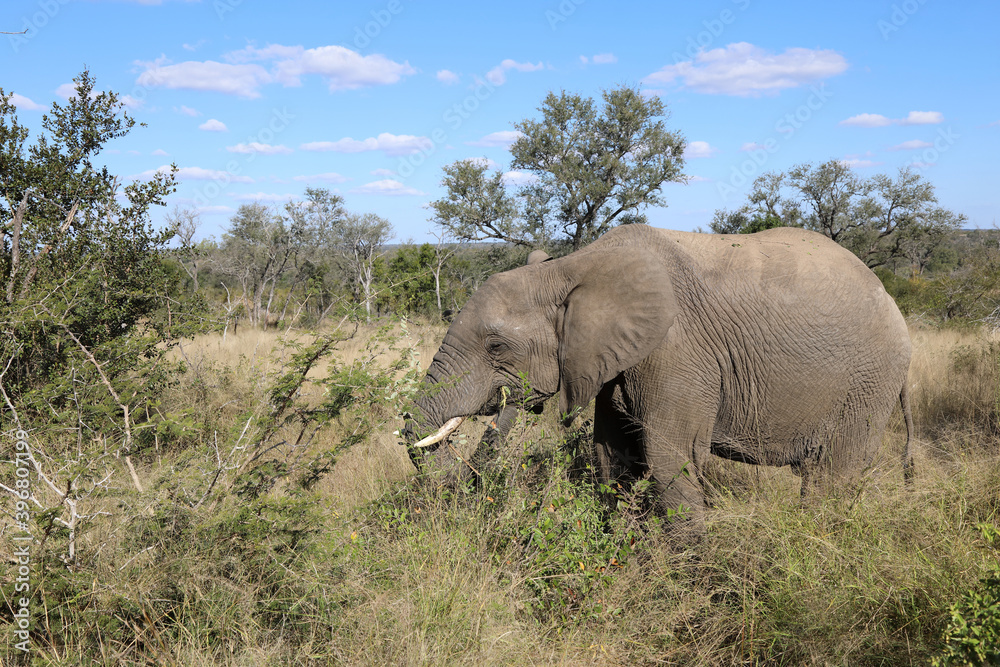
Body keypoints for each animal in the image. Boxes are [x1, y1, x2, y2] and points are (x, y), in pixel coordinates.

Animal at [404, 224, 916, 528]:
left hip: (868, 381)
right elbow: (613, 457)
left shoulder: (677, 351)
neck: (573, 266)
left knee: (833, 477)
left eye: (496, 347)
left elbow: (672, 460)